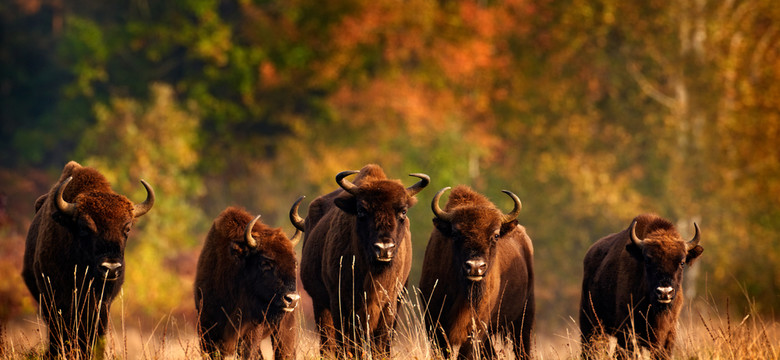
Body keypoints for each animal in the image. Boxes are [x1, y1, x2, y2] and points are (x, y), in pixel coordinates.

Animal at [195, 198, 304, 358]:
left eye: (295, 263)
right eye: (265, 262)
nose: (292, 299)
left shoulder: (251, 331)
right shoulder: (206, 330)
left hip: (284, 330)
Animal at [300, 165, 432, 358]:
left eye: (403, 211)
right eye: (362, 211)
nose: (384, 248)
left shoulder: (389, 305)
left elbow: (380, 345)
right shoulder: (341, 303)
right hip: (320, 304)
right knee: (328, 342)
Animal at [420, 187, 536, 358]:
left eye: (495, 235)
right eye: (455, 234)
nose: (475, 267)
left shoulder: (476, 327)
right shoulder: (433, 322)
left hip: (524, 319)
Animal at [580, 215, 708, 358]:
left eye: (682, 262)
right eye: (648, 260)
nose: (664, 292)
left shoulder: (668, 335)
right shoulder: (628, 330)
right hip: (590, 324)